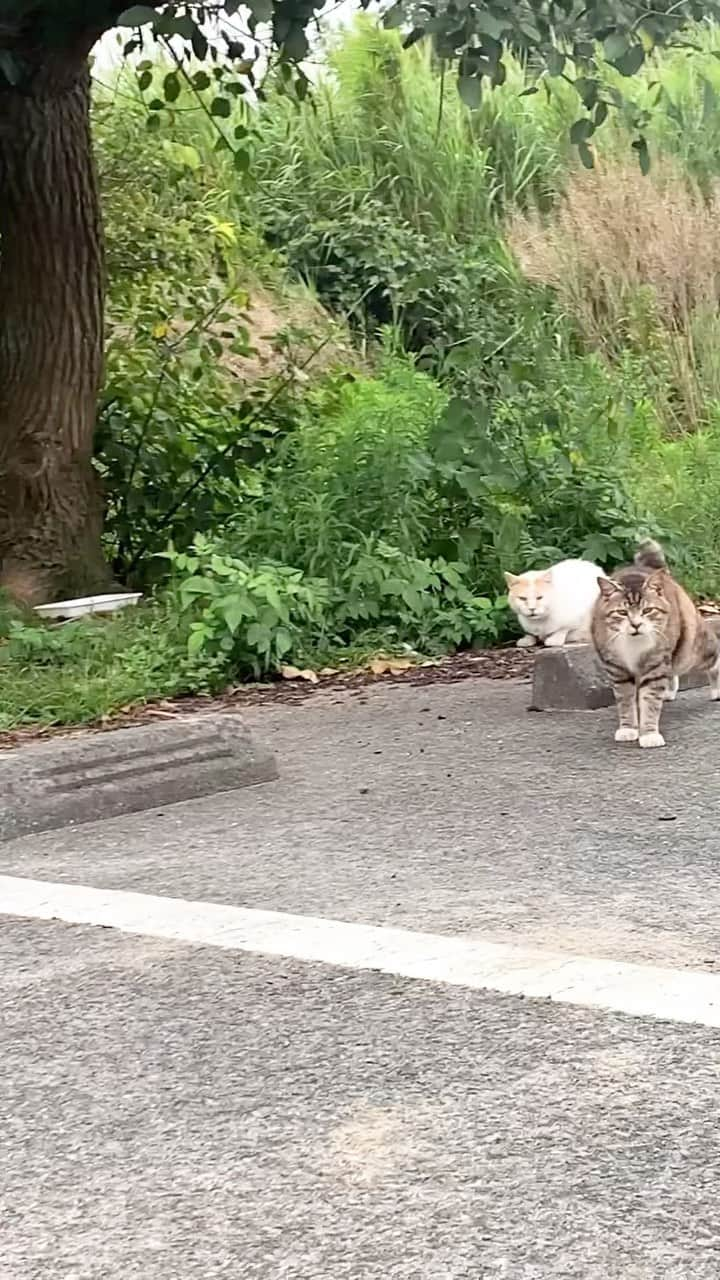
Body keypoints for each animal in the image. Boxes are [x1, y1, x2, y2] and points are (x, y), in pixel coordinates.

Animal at [589, 540, 717, 747]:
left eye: (647, 610)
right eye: (622, 613)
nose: (635, 624)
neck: (634, 643)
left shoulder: (655, 663)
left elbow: (650, 700)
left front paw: (649, 735)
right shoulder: (617, 669)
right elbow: (625, 701)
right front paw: (628, 729)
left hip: (689, 649)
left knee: (712, 657)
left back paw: (716, 690)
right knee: (671, 671)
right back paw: (669, 692)